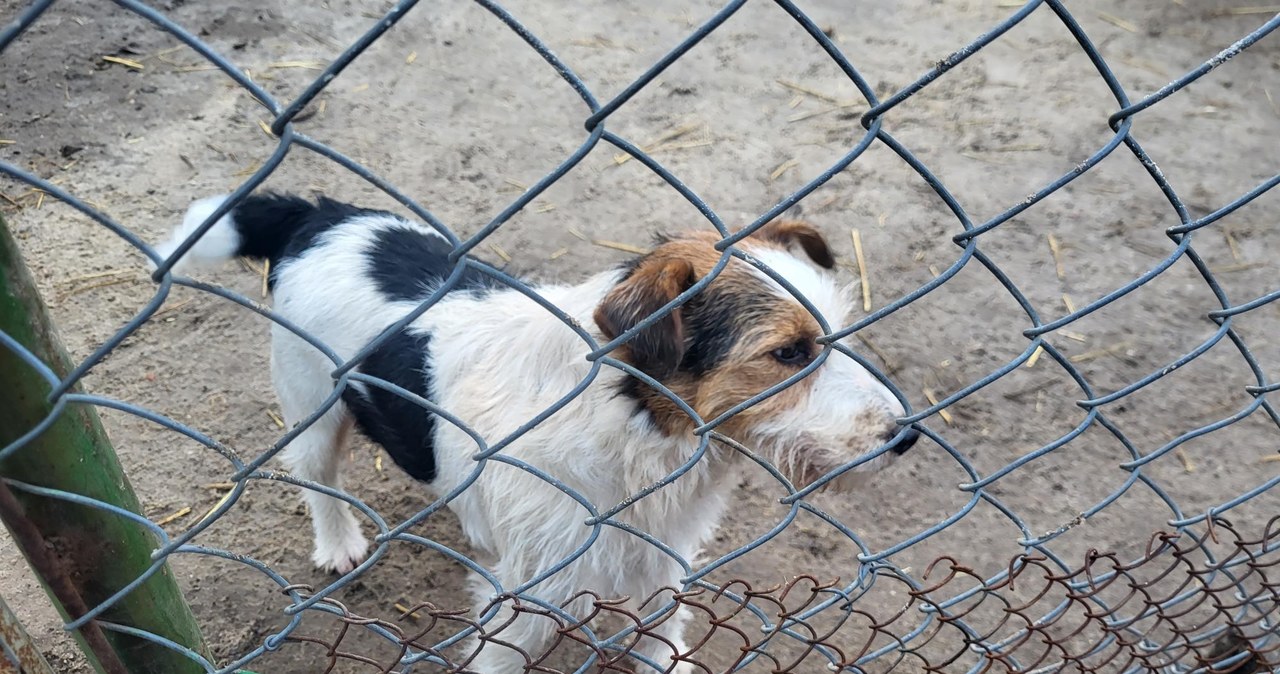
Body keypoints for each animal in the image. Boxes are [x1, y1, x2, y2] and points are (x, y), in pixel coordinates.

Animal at [154, 193, 916, 670]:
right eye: (789, 353)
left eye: (836, 331)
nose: (907, 436)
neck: (633, 427)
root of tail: (320, 217)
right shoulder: (523, 604)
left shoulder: (658, 561)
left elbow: (660, 631)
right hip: (311, 397)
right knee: (317, 477)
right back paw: (339, 542)